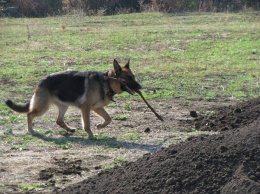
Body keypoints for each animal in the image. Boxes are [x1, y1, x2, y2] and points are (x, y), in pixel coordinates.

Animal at [5, 59, 141, 138]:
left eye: (133, 77)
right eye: (128, 78)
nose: (141, 87)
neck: (107, 81)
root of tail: (40, 81)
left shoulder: (97, 108)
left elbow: (108, 119)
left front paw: (100, 126)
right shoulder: (86, 108)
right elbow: (87, 124)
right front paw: (90, 134)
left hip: (64, 106)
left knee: (58, 120)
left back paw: (69, 130)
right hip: (43, 108)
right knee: (29, 114)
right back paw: (31, 130)